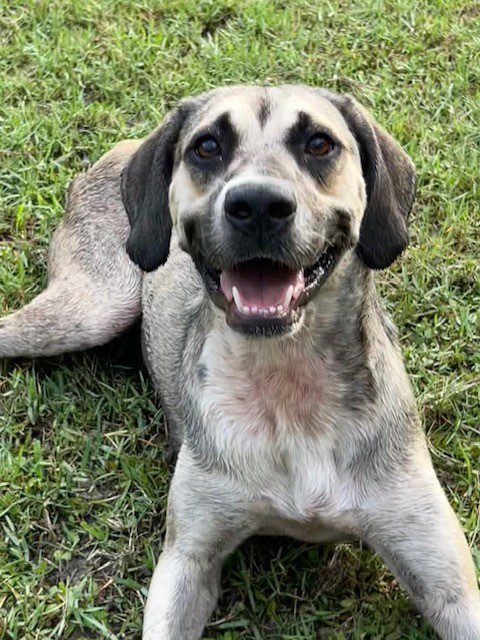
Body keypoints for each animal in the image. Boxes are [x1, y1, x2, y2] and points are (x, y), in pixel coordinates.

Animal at [0, 86, 480, 640]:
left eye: (319, 143)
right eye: (207, 146)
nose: (258, 205)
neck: (287, 383)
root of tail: (124, 146)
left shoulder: (445, 580)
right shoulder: (187, 561)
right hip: (90, 309)